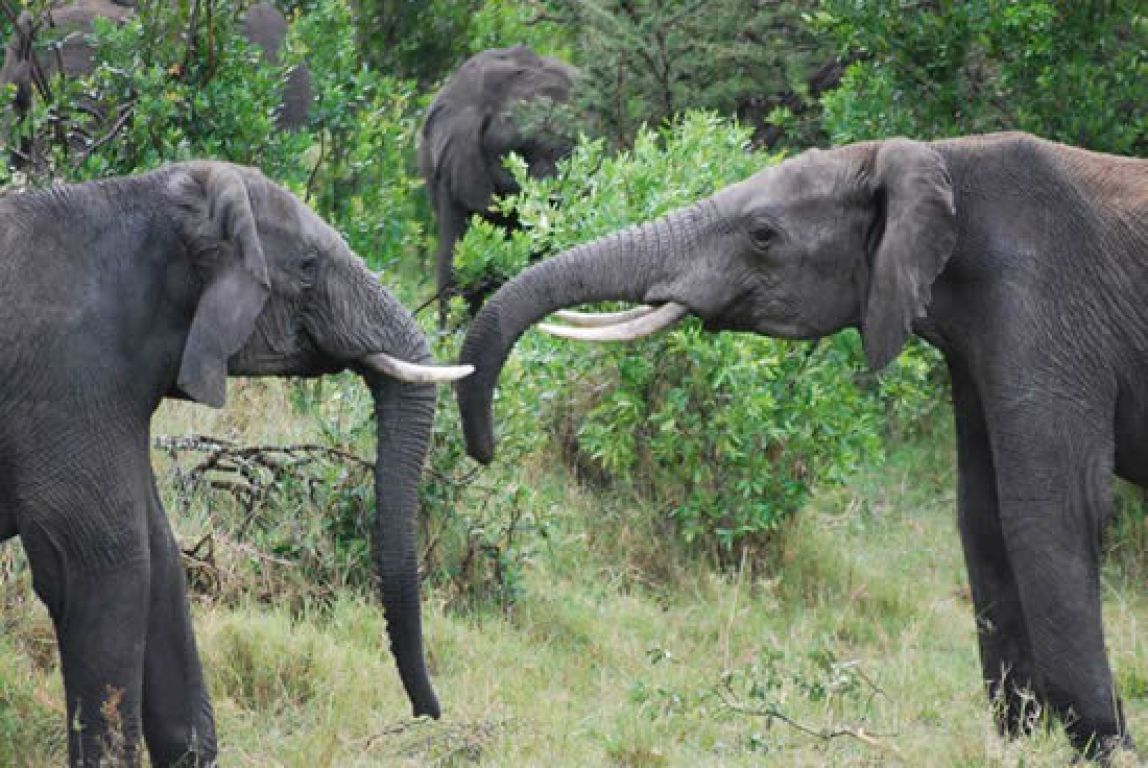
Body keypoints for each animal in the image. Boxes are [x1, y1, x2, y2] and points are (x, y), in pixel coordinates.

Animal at [456, 133, 1148, 762]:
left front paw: (1105, 750)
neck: (939, 157)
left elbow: (1047, 512)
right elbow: (981, 515)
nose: (483, 450)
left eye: (762, 234)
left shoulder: (1045, 307)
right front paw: (1014, 743)